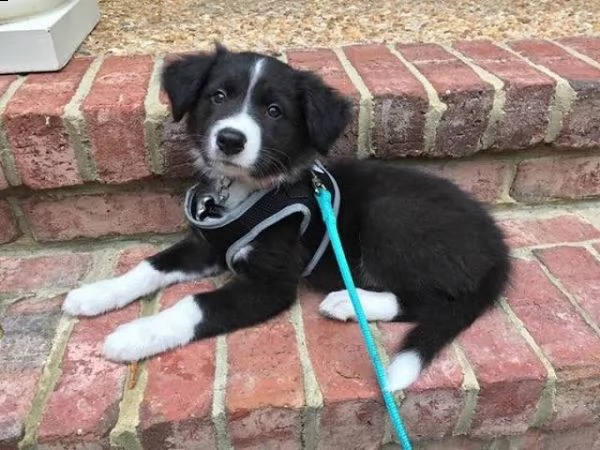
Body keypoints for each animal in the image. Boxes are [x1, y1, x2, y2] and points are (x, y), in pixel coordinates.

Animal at [62, 44, 510, 390]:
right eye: (218, 96)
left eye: (275, 111)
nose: (230, 139)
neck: (248, 192)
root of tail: (498, 247)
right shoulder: (209, 245)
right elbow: (150, 265)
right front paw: (96, 294)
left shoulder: (271, 285)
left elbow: (195, 304)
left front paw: (135, 335)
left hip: (391, 216)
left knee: (432, 301)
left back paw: (349, 302)